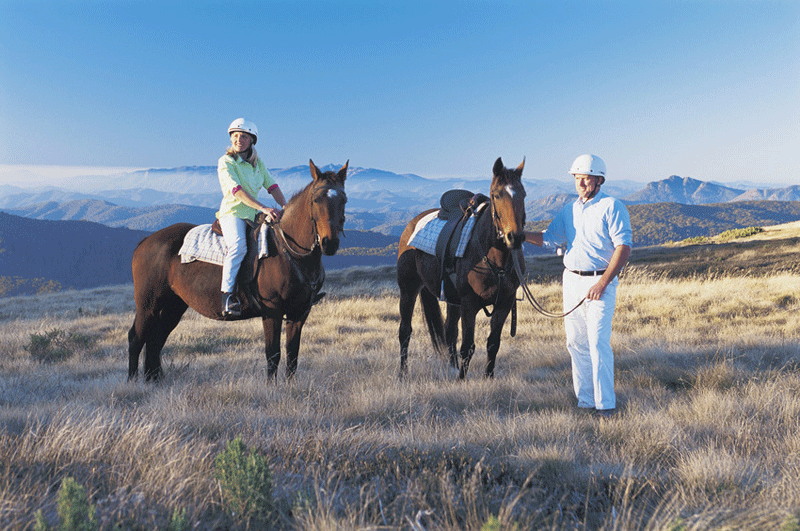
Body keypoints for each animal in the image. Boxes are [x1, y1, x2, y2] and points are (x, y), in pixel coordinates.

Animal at [128, 160, 346, 384]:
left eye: (344, 200)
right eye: (316, 200)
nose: (329, 243)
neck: (290, 252)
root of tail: (146, 242)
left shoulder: (299, 313)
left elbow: (292, 355)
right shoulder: (272, 312)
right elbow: (273, 354)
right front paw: (271, 387)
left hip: (173, 306)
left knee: (155, 341)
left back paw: (153, 381)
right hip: (148, 305)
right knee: (136, 338)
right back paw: (132, 382)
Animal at [396, 156, 524, 380]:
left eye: (523, 194)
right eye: (497, 195)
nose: (514, 237)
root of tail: (411, 224)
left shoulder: (504, 303)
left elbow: (493, 343)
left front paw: (488, 377)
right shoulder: (469, 303)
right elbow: (468, 346)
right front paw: (462, 380)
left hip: (451, 298)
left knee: (449, 332)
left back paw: (452, 367)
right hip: (408, 288)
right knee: (405, 330)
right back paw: (403, 373)